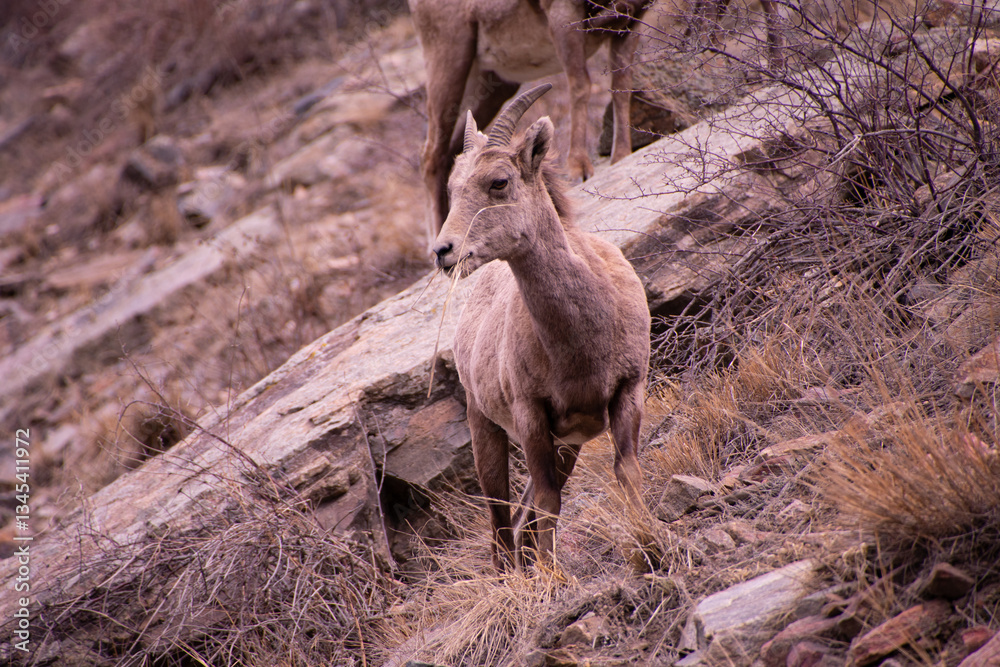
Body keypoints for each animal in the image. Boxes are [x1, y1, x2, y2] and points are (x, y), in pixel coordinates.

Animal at [432, 83, 651, 570]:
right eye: (452, 188)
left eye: (499, 182)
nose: (443, 251)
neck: (583, 341)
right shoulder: (530, 416)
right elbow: (549, 502)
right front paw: (554, 580)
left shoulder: (626, 392)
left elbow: (625, 470)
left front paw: (650, 546)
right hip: (485, 429)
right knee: (500, 521)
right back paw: (511, 577)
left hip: (566, 445)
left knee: (520, 519)